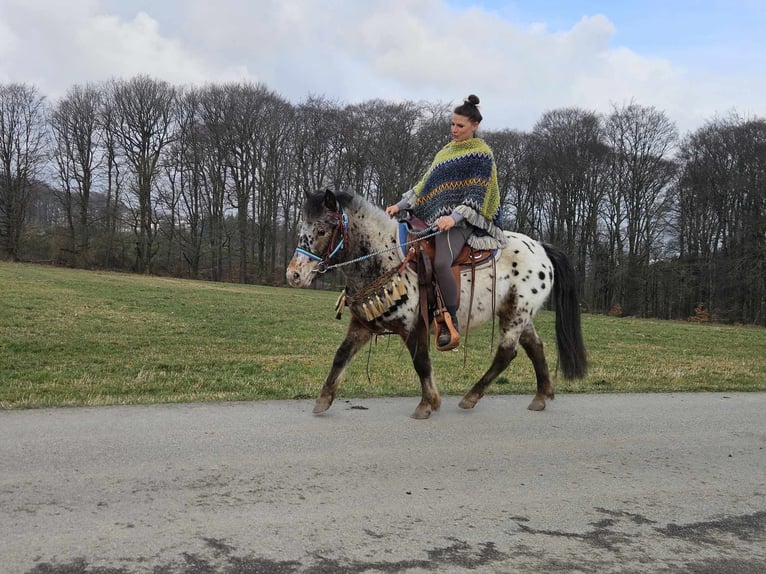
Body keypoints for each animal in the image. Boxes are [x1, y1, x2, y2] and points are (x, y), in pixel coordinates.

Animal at [288, 191, 588, 420]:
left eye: (322, 230)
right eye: (302, 229)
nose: (294, 275)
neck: (385, 257)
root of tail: (541, 247)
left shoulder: (413, 325)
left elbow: (421, 362)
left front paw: (427, 404)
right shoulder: (362, 324)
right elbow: (341, 355)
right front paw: (323, 400)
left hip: (515, 314)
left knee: (506, 353)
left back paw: (471, 396)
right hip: (518, 313)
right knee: (535, 346)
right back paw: (541, 396)